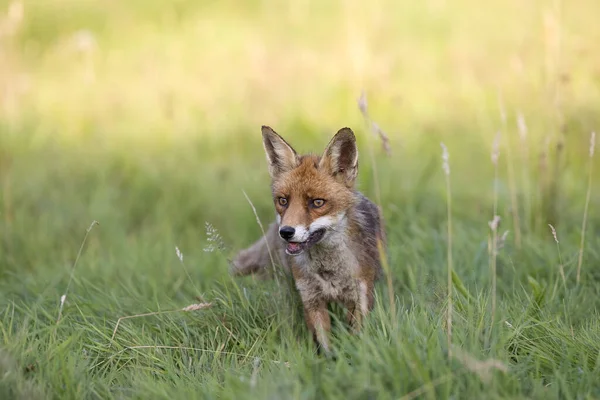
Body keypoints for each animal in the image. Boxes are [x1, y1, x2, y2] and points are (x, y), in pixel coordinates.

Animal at [232, 126, 386, 354]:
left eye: (317, 202)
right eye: (283, 201)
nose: (286, 232)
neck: (329, 271)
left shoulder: (360, 296)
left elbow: (358, 338)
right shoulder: (311, 299)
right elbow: (324, 345)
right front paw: (329, 360)